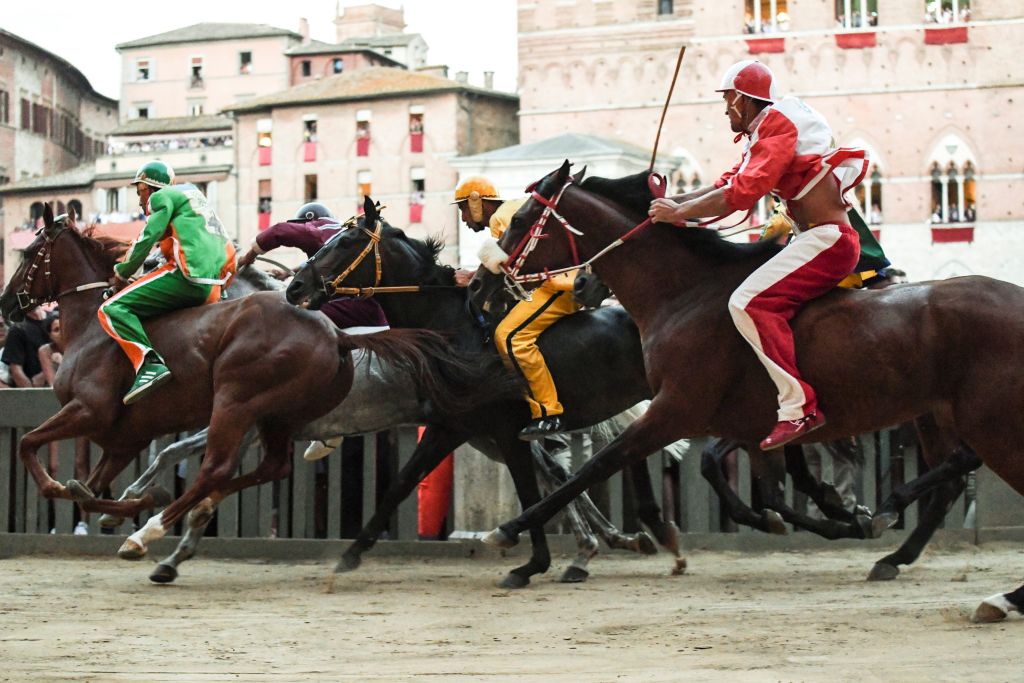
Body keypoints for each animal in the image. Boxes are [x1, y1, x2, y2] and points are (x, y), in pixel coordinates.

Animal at [0, 204, 492, 566]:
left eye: (27, 255)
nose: (6, 305)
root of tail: (336, 338)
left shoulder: (97, 411)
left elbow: (35, 448)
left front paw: (140, 509)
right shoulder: (130, 435)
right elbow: (114, 479)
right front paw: (133, 503)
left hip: (241, 404)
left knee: (216, 471)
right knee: (264, 469)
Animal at [103, 266, 655, 585]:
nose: (119, 288)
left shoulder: (246, 422)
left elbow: (184, 464)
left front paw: (141, 523)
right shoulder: (253, 425)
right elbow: (191, 471)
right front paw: (153, 535)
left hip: (480, 430)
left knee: (550, 472)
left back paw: (593, 545)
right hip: (480, 433)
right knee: (550, 473)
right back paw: (599, 543)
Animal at [471, 162, 1024, 621]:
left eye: (521, 220)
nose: (478, 286)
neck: (686, 293)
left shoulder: (677, 409)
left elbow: (597, 465)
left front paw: (509, 533)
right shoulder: (753, 425)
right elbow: (771, 488)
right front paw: (838, 514)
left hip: (988, 421)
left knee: (961, 469)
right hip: (937, 414)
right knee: (950, 477)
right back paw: (899, 550)